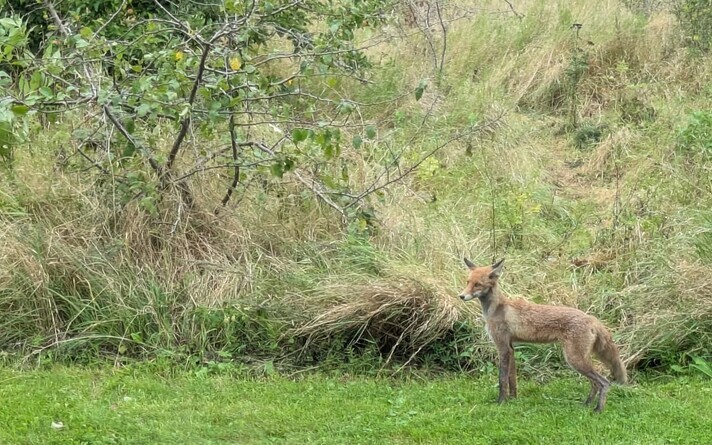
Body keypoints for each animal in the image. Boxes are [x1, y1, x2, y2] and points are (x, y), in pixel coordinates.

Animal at [458, 258, 627, 412]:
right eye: (468, 282)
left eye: (477, 284)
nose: (461, 296)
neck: (497, 309)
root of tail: (591, 318)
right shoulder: (511, 347)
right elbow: (512, 380)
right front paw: (513, 399)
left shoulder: (503, 347)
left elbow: (502, 380)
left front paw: (500, 402)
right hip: (580, 359)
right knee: (595, 383)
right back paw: (587, 404)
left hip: (574, 359)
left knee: (604, 382)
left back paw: (598, 409)